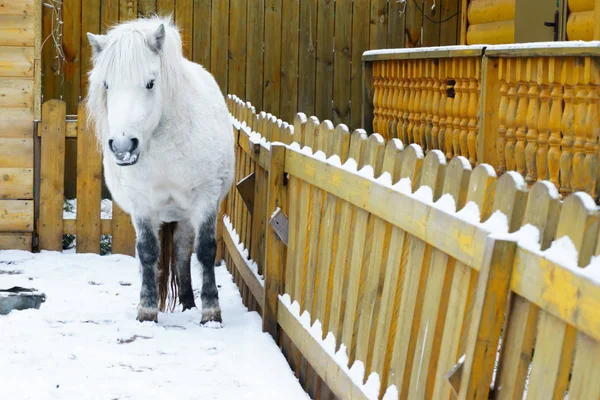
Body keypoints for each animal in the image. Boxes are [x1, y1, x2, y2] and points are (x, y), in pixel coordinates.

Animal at [84, 17, 234, 326]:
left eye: (150, 83)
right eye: (107, 85)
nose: (123, 146)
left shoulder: (206, 200)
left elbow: (205, 250)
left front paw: (211, 313)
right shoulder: (142, 206)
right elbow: (148, 252)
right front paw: (147, 309)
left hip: (185, 216)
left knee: (182, 252)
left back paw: (189, 304)